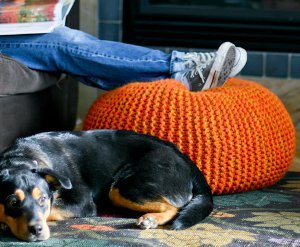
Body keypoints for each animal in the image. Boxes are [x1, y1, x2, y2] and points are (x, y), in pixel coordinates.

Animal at [0, 130, 213, 240]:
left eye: (43, 199)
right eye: (12, 202)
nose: (37, 231)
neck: (20, 158)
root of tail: (185, 158)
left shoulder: (82, 202)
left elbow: (53, 210)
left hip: (123, 187)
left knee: (175, 206)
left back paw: (150, 219)